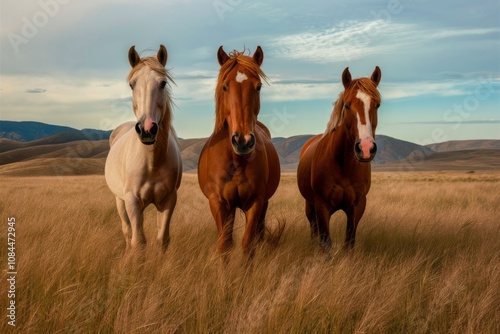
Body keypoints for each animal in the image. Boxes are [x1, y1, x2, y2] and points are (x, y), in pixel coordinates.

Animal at [104, 45, 183, 253]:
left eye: (163, 83)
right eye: (132, 84)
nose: (147, 129)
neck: (152, 162)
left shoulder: (168, 200)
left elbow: (162, 239)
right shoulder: (132, 201)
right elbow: (138, 241)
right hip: (120, 200)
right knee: (127, 231)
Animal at [196, 46, 282, 256]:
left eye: (258, 86)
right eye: (225, 86)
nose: (243, 141)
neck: (235, 161)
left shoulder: (255, 202)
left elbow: (248, 245)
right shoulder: (219, 203)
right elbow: (225, 245)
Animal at [296, 66, 382, 250]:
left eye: (377, 105)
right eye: (347, 105)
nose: (365, 148)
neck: (344, 166)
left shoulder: (357, 207)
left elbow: (349, 243)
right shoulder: (322, 206)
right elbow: (326, 243)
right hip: (310, 205)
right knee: (314, 230)